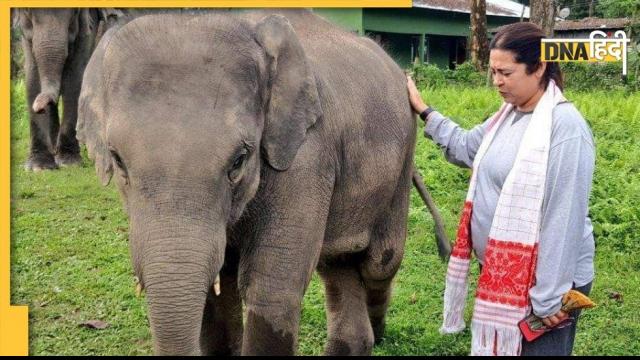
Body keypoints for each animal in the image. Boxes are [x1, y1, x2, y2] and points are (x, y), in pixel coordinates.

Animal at [77, 9, 418, 356]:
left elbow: (271, 288)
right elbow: (218, 286)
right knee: (338, 262)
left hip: (402, 165)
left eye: (239, 159)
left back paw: (380, 327)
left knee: (380, 263)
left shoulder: (306, 156)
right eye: (117, 159)